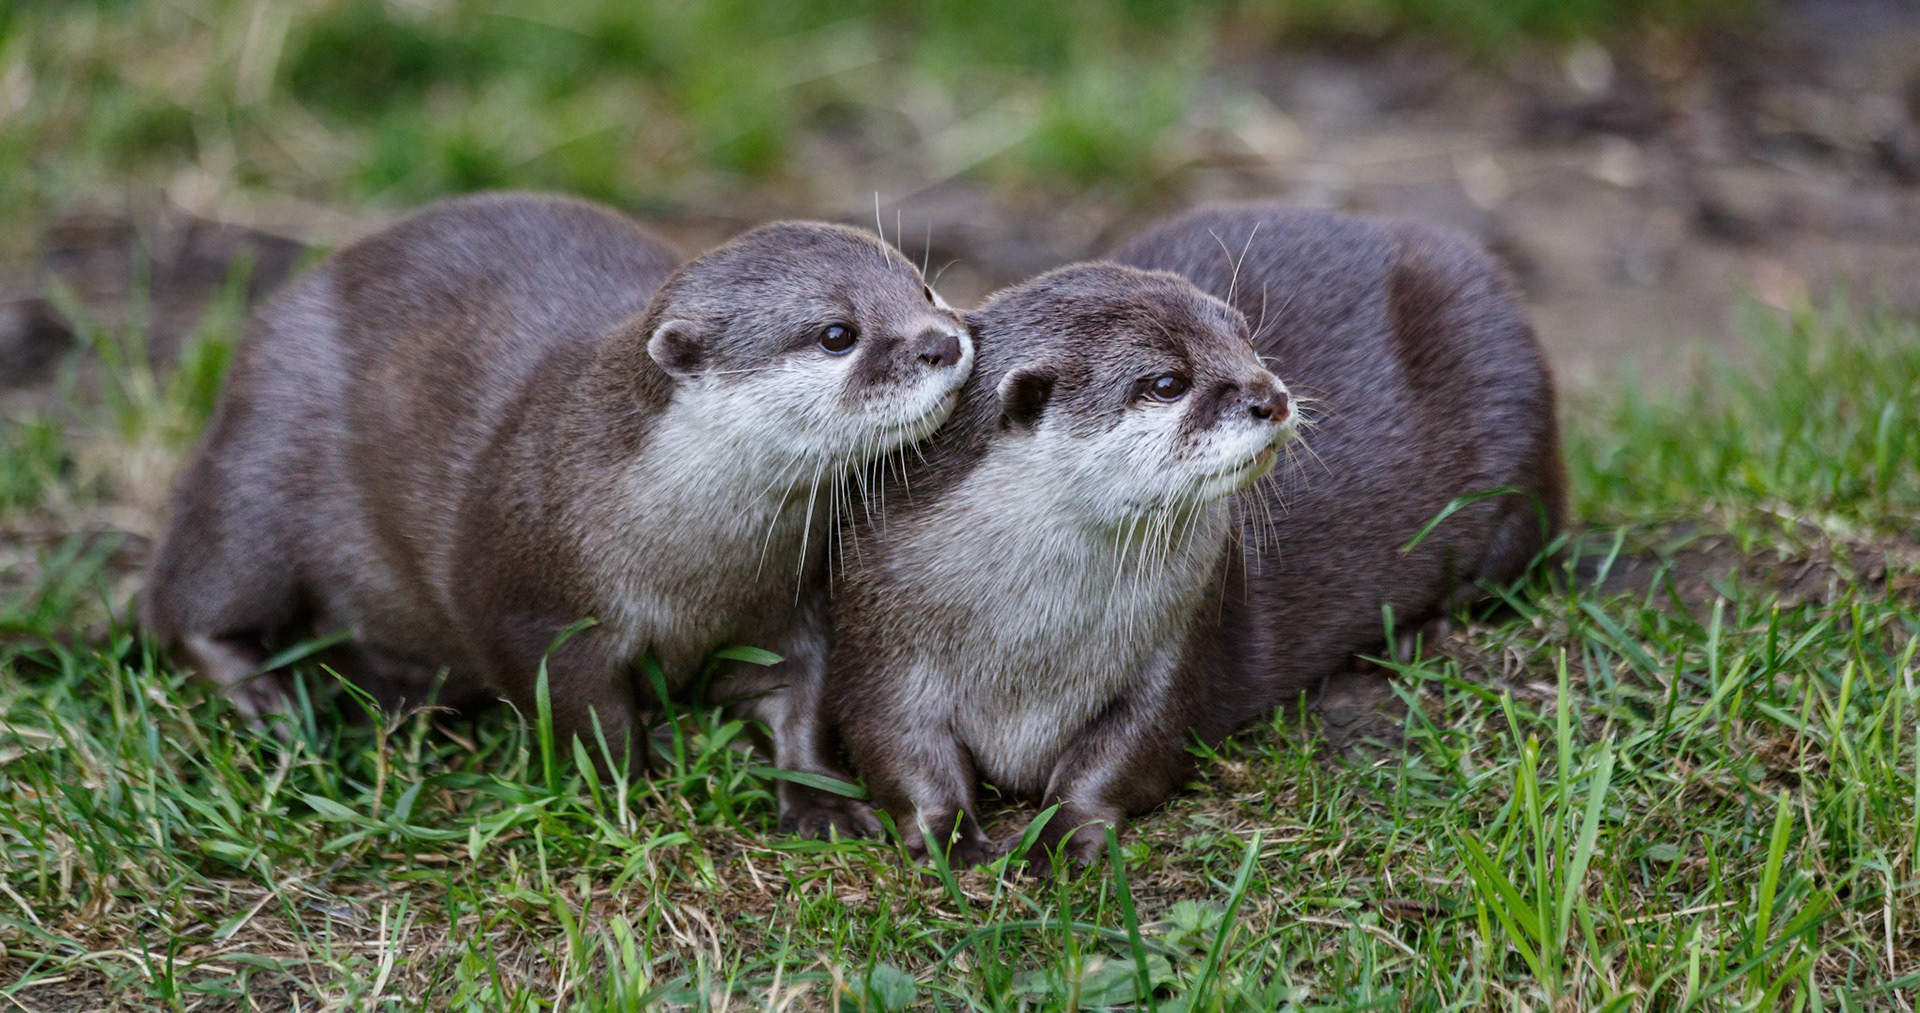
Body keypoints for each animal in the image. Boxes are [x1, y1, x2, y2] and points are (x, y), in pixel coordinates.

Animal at [140, 192, 971, 836]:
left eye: (924, 288)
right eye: (837, 334)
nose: (946, 341)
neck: (692, 567)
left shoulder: (792, 601)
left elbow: (802, 701)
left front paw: (819, 801)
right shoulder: (531, 605)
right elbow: (582, 713)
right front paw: (632, 796)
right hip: (260, 457)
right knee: (191, 599)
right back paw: (266, 698)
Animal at [826, 263, 1294, 871]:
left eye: (1246, 340)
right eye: (1168, 383)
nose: (1273, 398)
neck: (1027, 647)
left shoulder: (1183, 634)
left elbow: (1132, 746)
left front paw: (1062, 837)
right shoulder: (877, 627)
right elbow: (895, 741)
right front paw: (949, 839)